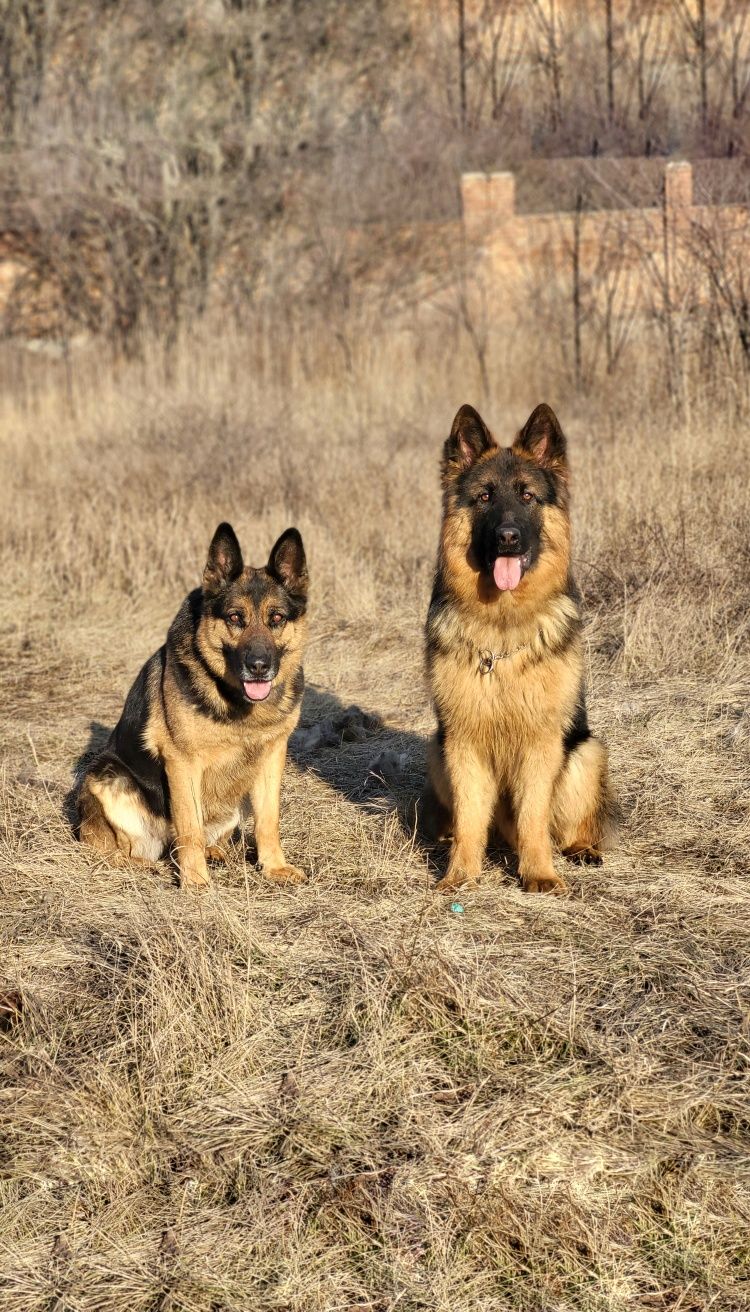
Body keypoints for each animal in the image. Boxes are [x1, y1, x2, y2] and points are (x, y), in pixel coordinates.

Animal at [77, 522, 309, 892]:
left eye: (276, 618)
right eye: (235, 617)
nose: (259, 666)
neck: (239, 704)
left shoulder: (273, 755)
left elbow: (268, 820)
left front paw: (274, 867)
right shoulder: (182, 763)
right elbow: (190, 829)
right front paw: (196, 883)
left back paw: (213, 853)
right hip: (107, 776)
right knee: (120, 851)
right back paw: (145, 865)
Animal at [424, 404, 611, 897]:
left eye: (527, 496)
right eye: (485, 497)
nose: (508, 536)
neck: (502, 633)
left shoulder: (541, 744)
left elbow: (533, 819)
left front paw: (539, 874)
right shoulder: (463, 742)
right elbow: (471, 819)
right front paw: (460, 874)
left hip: (585, 753)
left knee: (571, 825)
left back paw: (581, 849)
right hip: (436, 750)